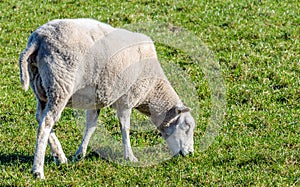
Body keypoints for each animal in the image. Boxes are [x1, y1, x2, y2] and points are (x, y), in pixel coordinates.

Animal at [19, 18, 197, 179]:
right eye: (187, 126)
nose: (190, 153)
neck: (152, 90)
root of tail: (38, 39)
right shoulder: (126, 100)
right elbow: (125, 128)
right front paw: (130, 157)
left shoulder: (95, 101)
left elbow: (90, 126)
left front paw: (80, 153)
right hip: (60, 84)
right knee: (46, 123)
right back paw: (38, 170)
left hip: (41, 87)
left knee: (40, 117)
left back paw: (59, 156)